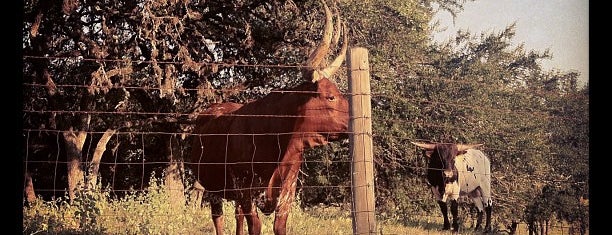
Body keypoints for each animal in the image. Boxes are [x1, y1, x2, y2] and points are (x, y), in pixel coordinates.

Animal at [189, 0, 346, 234]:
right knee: (218, 218)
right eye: (330, 97)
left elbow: (279, 226)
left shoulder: (288, 190)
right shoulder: (245, 188)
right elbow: (254, 225)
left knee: (237, 216)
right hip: (211, 186)